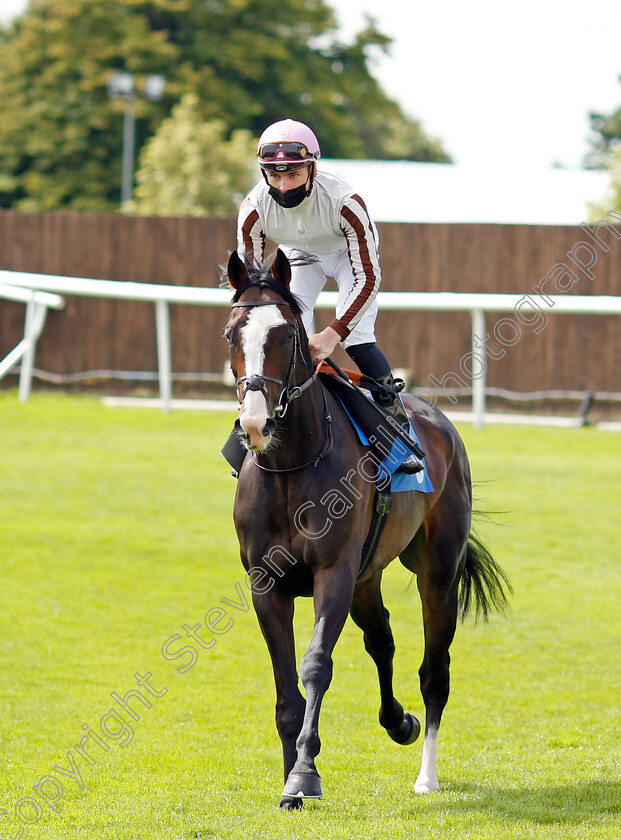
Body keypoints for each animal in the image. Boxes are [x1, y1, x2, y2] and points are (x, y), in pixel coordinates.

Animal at [223, 248, 508, 808]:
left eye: (287, 336)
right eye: (230, 334)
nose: (255, 423)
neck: (291, 466)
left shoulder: (333, 573)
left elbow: (315, 665)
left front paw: (304, 774)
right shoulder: (267, 585)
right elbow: (286, 689)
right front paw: (289, 781)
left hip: (436, 573)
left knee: (434, 671)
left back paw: (426, 775)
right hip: (367, 578)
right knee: (382, 640)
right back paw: (399, 722)